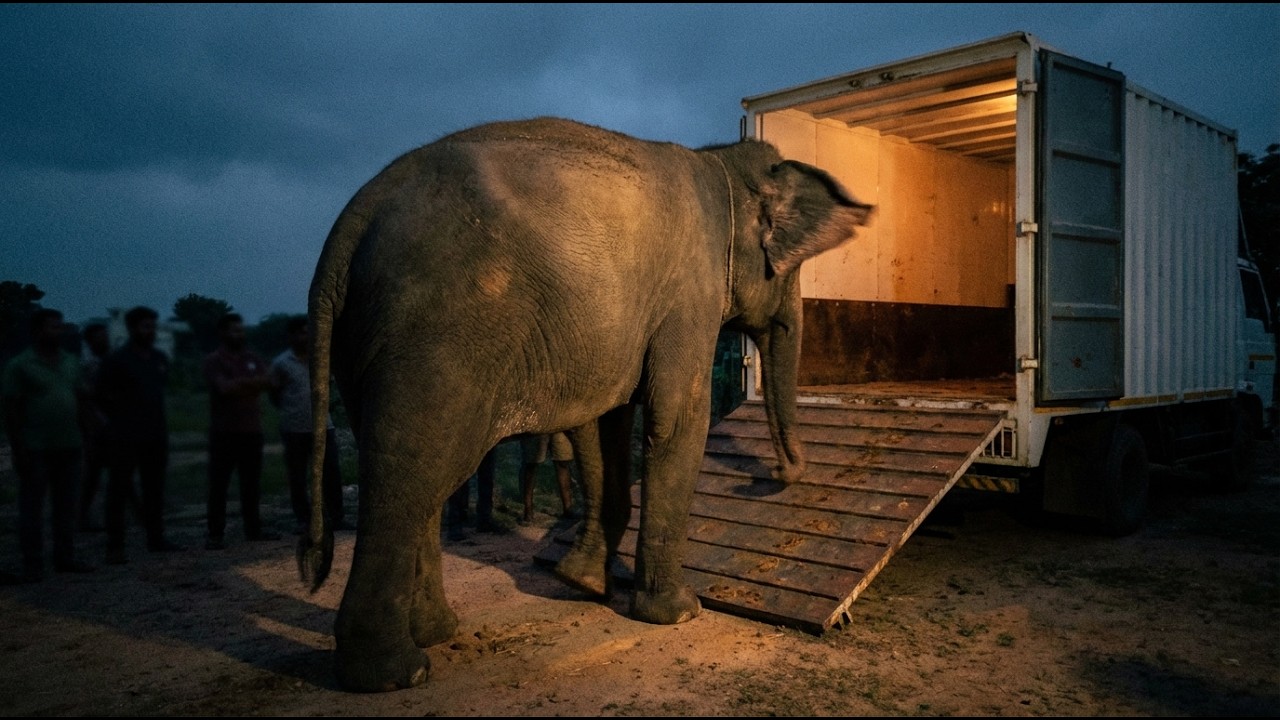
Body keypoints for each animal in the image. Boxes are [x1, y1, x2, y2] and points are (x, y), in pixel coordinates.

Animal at [298, 116, 873, 692]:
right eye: (790, 271)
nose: (776, 475)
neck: (722, 161)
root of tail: (351, 221)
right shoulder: (689, 294)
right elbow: (676, 418)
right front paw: (679, 614)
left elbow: (600, 426)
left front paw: (582, 583)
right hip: (434, 332)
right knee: (414, 469)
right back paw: (397, 673)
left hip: (367, 337)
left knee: (419, 476)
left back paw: (437, 633)